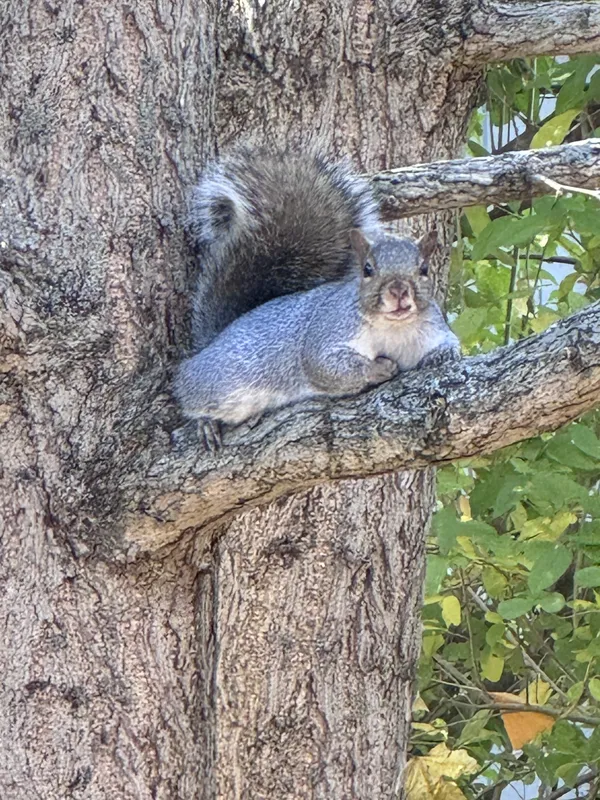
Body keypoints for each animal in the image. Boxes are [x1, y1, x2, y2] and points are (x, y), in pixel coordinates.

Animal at [175, 148, 460, 450]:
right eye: (367, 269)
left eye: (424, 269)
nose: (398, 291)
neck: (394, 329)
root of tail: (212, 342)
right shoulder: (329, 328)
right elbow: (323, 364)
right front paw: (377, 368)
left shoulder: (434, 329)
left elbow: (452, 345)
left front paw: (439, 357)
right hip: (218, 381)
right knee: (191, 395)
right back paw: (205, 421)